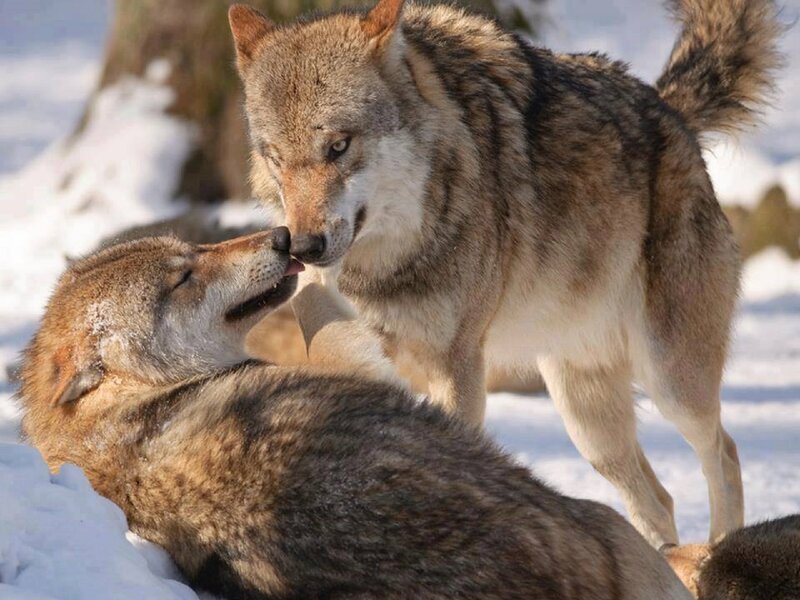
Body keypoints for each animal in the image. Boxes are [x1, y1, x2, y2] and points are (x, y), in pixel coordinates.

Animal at [18, 232, 691, 599]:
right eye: (182, 278)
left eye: (196, 248)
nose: (282, 235)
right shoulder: (358, 366)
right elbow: (320, 312)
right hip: (610, 524)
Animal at [228, 0, 783, 547]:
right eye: (276, 158)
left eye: (339, 146)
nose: (303, 245)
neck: (387, 262)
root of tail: (670, 112)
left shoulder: (456, 365)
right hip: (587, 419)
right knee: (659, 501)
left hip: (671, 381)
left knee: (725, 454)